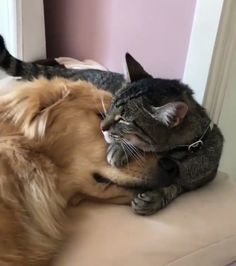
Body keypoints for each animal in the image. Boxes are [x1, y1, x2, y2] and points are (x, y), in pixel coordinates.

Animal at [0, 35, 223, 215]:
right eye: (109, 109)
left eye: (123, 119)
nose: (102, 126)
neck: (177, 152)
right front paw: (118, 150)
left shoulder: (202, 175)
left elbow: (178, 185)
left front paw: (156, 197)